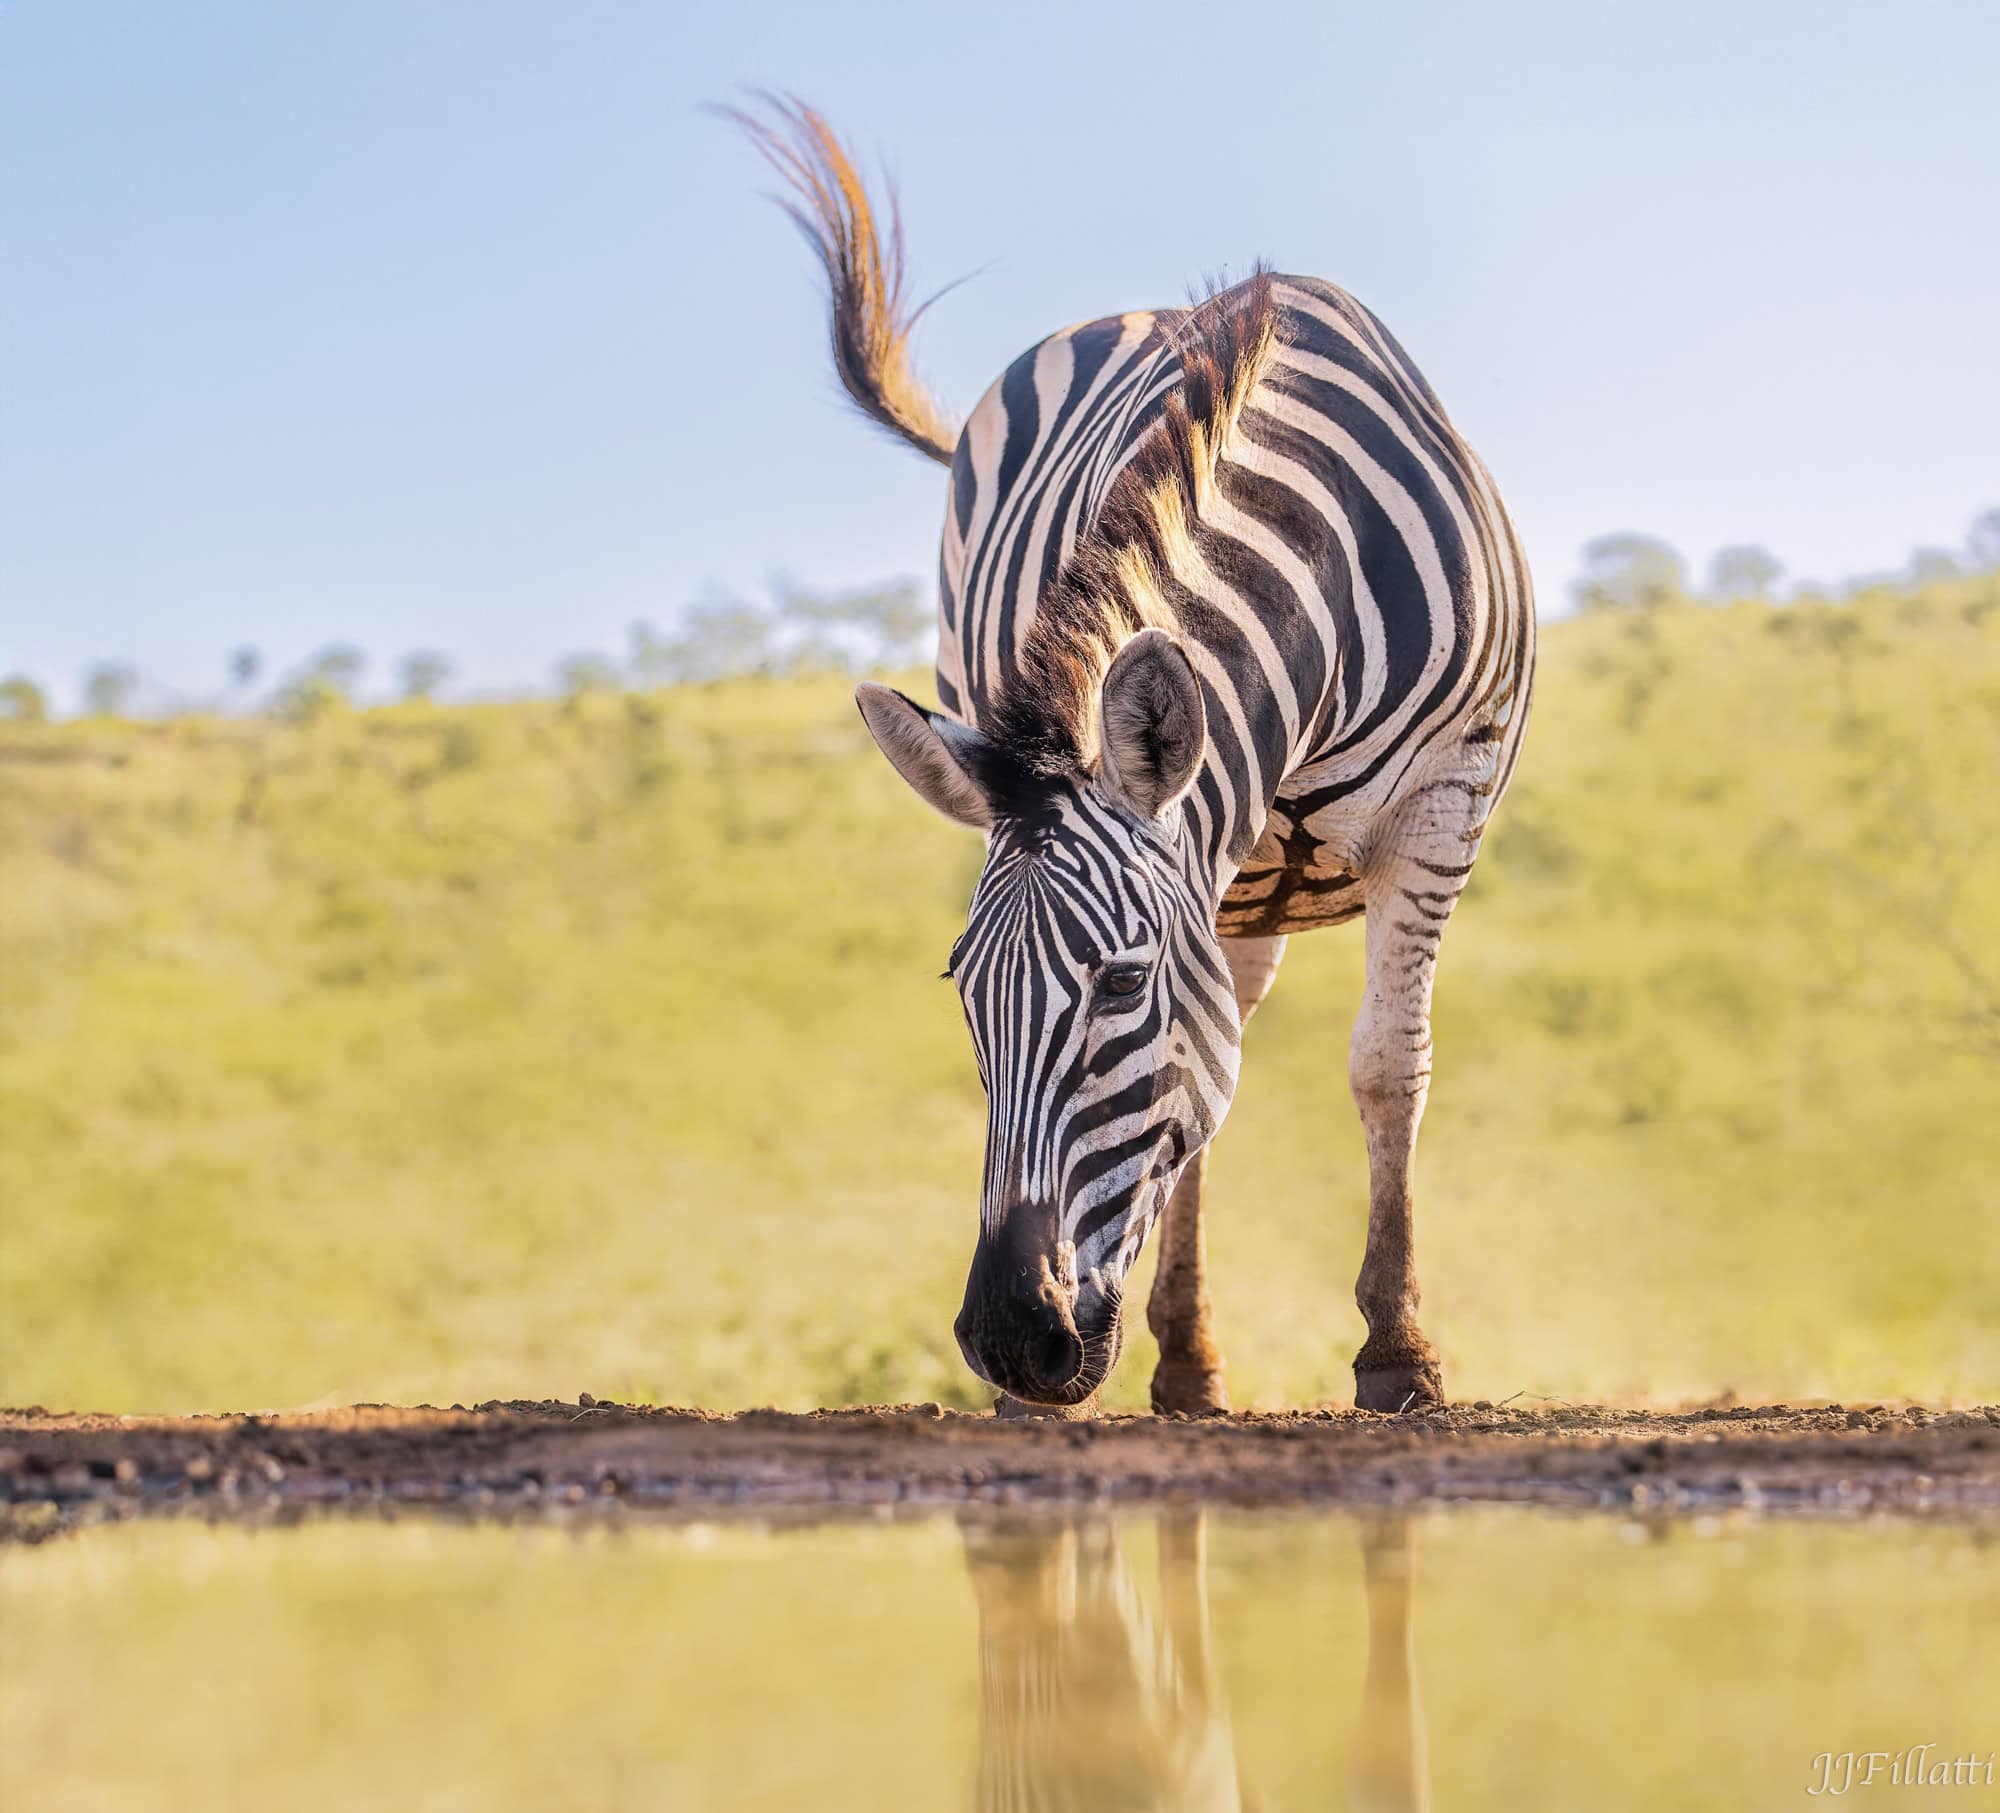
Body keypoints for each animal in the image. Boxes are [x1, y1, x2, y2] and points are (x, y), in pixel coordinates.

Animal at [736, 99, 1528, 1416]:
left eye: (1115, 985)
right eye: (963, 992)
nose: (1012, 1343)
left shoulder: (1441, 800)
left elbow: (1385, 1063)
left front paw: (1397, 1349)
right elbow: (1207, 1091)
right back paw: (1186, 1358)